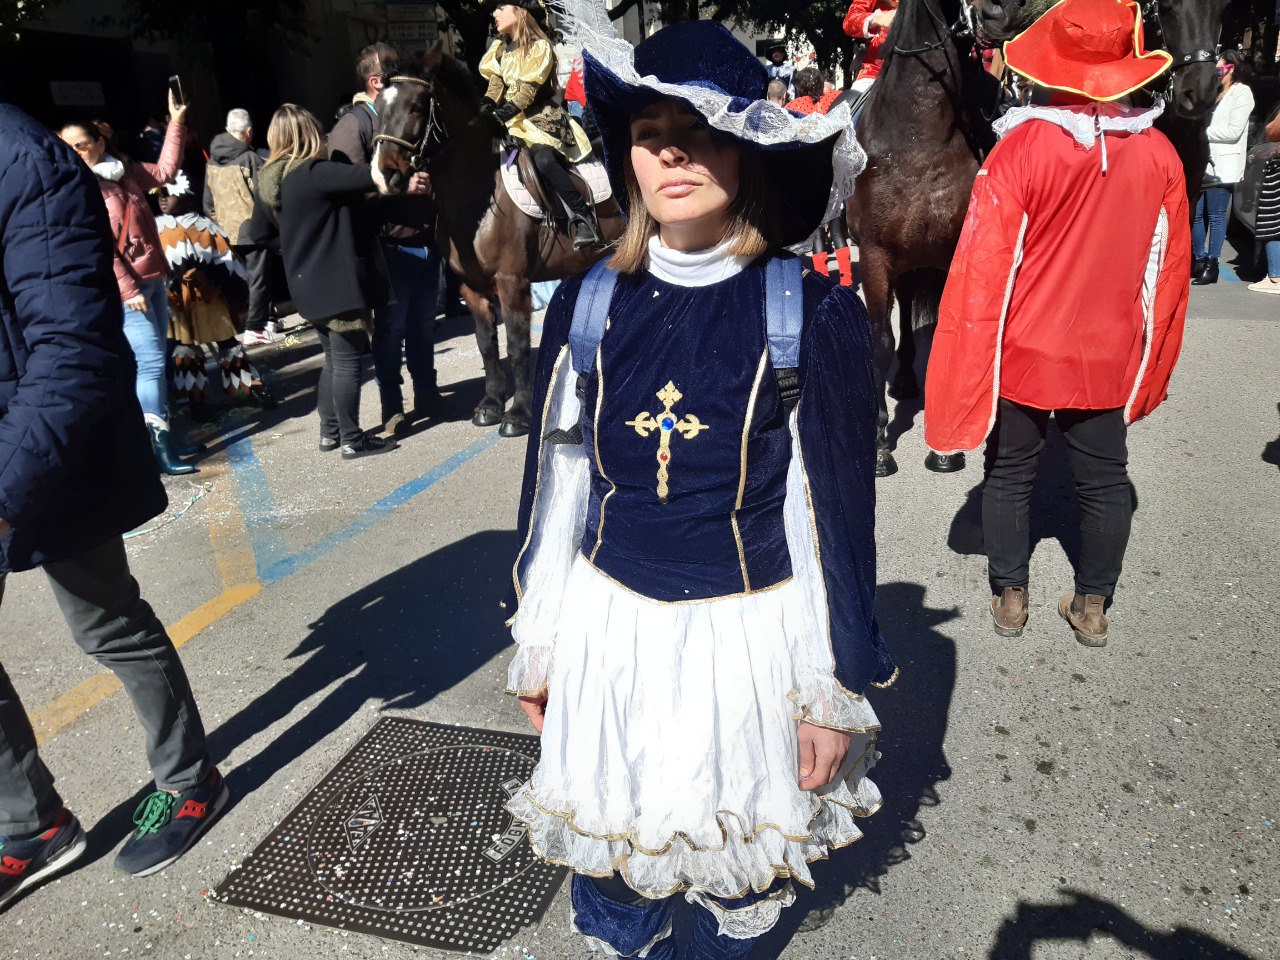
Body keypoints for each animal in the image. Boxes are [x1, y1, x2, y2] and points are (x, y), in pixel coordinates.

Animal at [368, 48, 622, 440]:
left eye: (416, 106)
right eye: (379, 105)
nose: (385, 174)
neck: (475, 201)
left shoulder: (511, 283)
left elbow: (517, 348)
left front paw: (517, 414)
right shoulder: (471, 288)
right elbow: (486, 346)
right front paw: (489, 405)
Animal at [849, 0, 998, 478]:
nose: (999, 14)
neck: (919, 136)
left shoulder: (951, 253)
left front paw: (944, 447)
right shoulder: (875, 255)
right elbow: (880, 342)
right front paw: (879, 446)